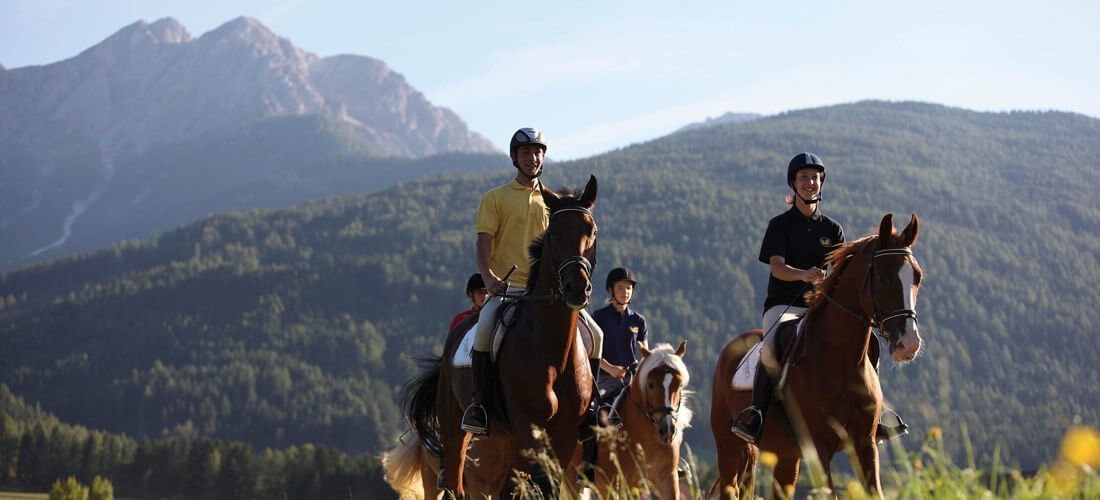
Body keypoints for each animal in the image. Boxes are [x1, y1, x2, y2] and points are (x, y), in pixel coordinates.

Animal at [400, 174, 598, 496]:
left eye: (591, 231)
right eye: (554, 232)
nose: (576, 288)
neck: (552, 346)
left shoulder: (566, 432)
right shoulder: (529, 426)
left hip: (507, 441)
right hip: (455, 428)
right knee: (455, 483)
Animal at [708, 213, 924, 498]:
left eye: (917, 278)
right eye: (882, 278)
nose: (908, 344)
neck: (841, 361)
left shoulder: (865, 443)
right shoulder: (819, 447)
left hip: (786, 454)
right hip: (728, 443)